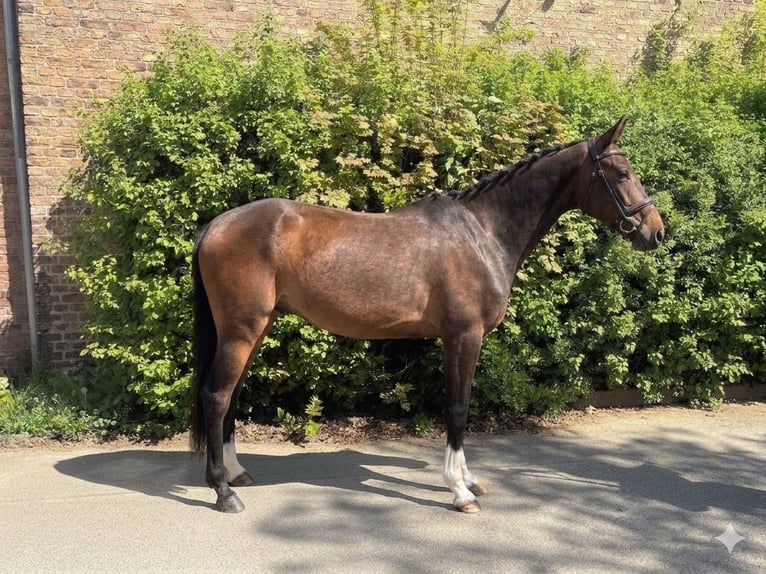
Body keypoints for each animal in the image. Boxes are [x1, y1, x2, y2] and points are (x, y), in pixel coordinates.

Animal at [190, 117, 665, 513]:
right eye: (622, 174)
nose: (655, 232)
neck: (481, 232)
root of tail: (214, 226)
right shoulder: (463, 336)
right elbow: (458, 407)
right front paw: (459, 490)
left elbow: (460, 407)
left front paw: (469, 480)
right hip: (241, 330)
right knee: (216, 395)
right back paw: (223, 492)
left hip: (255, 328)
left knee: (231, 395)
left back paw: (236, 474)